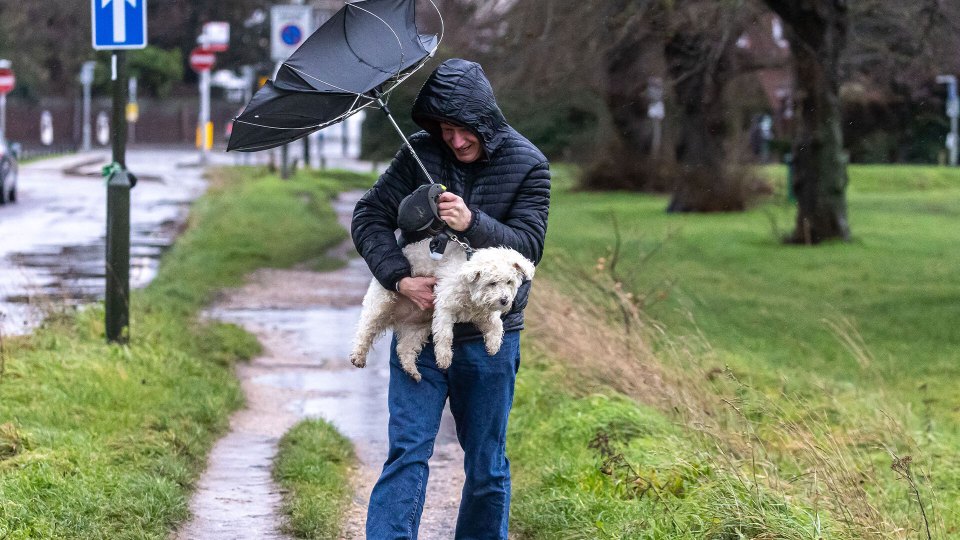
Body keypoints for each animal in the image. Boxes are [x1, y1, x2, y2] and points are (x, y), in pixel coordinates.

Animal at [350, 238, 536, 382]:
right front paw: (444, 358)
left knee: (404, 348)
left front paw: (493, 345)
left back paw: (412, 371)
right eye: (492, 283)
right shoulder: (445, 308)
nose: (504, 301)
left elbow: (497, 326)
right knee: (365, 330)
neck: (469, 293)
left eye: (509, 282)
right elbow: (445, 336)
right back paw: (358, 356)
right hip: (380, 305)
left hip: (418, 327)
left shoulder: (484, 314)